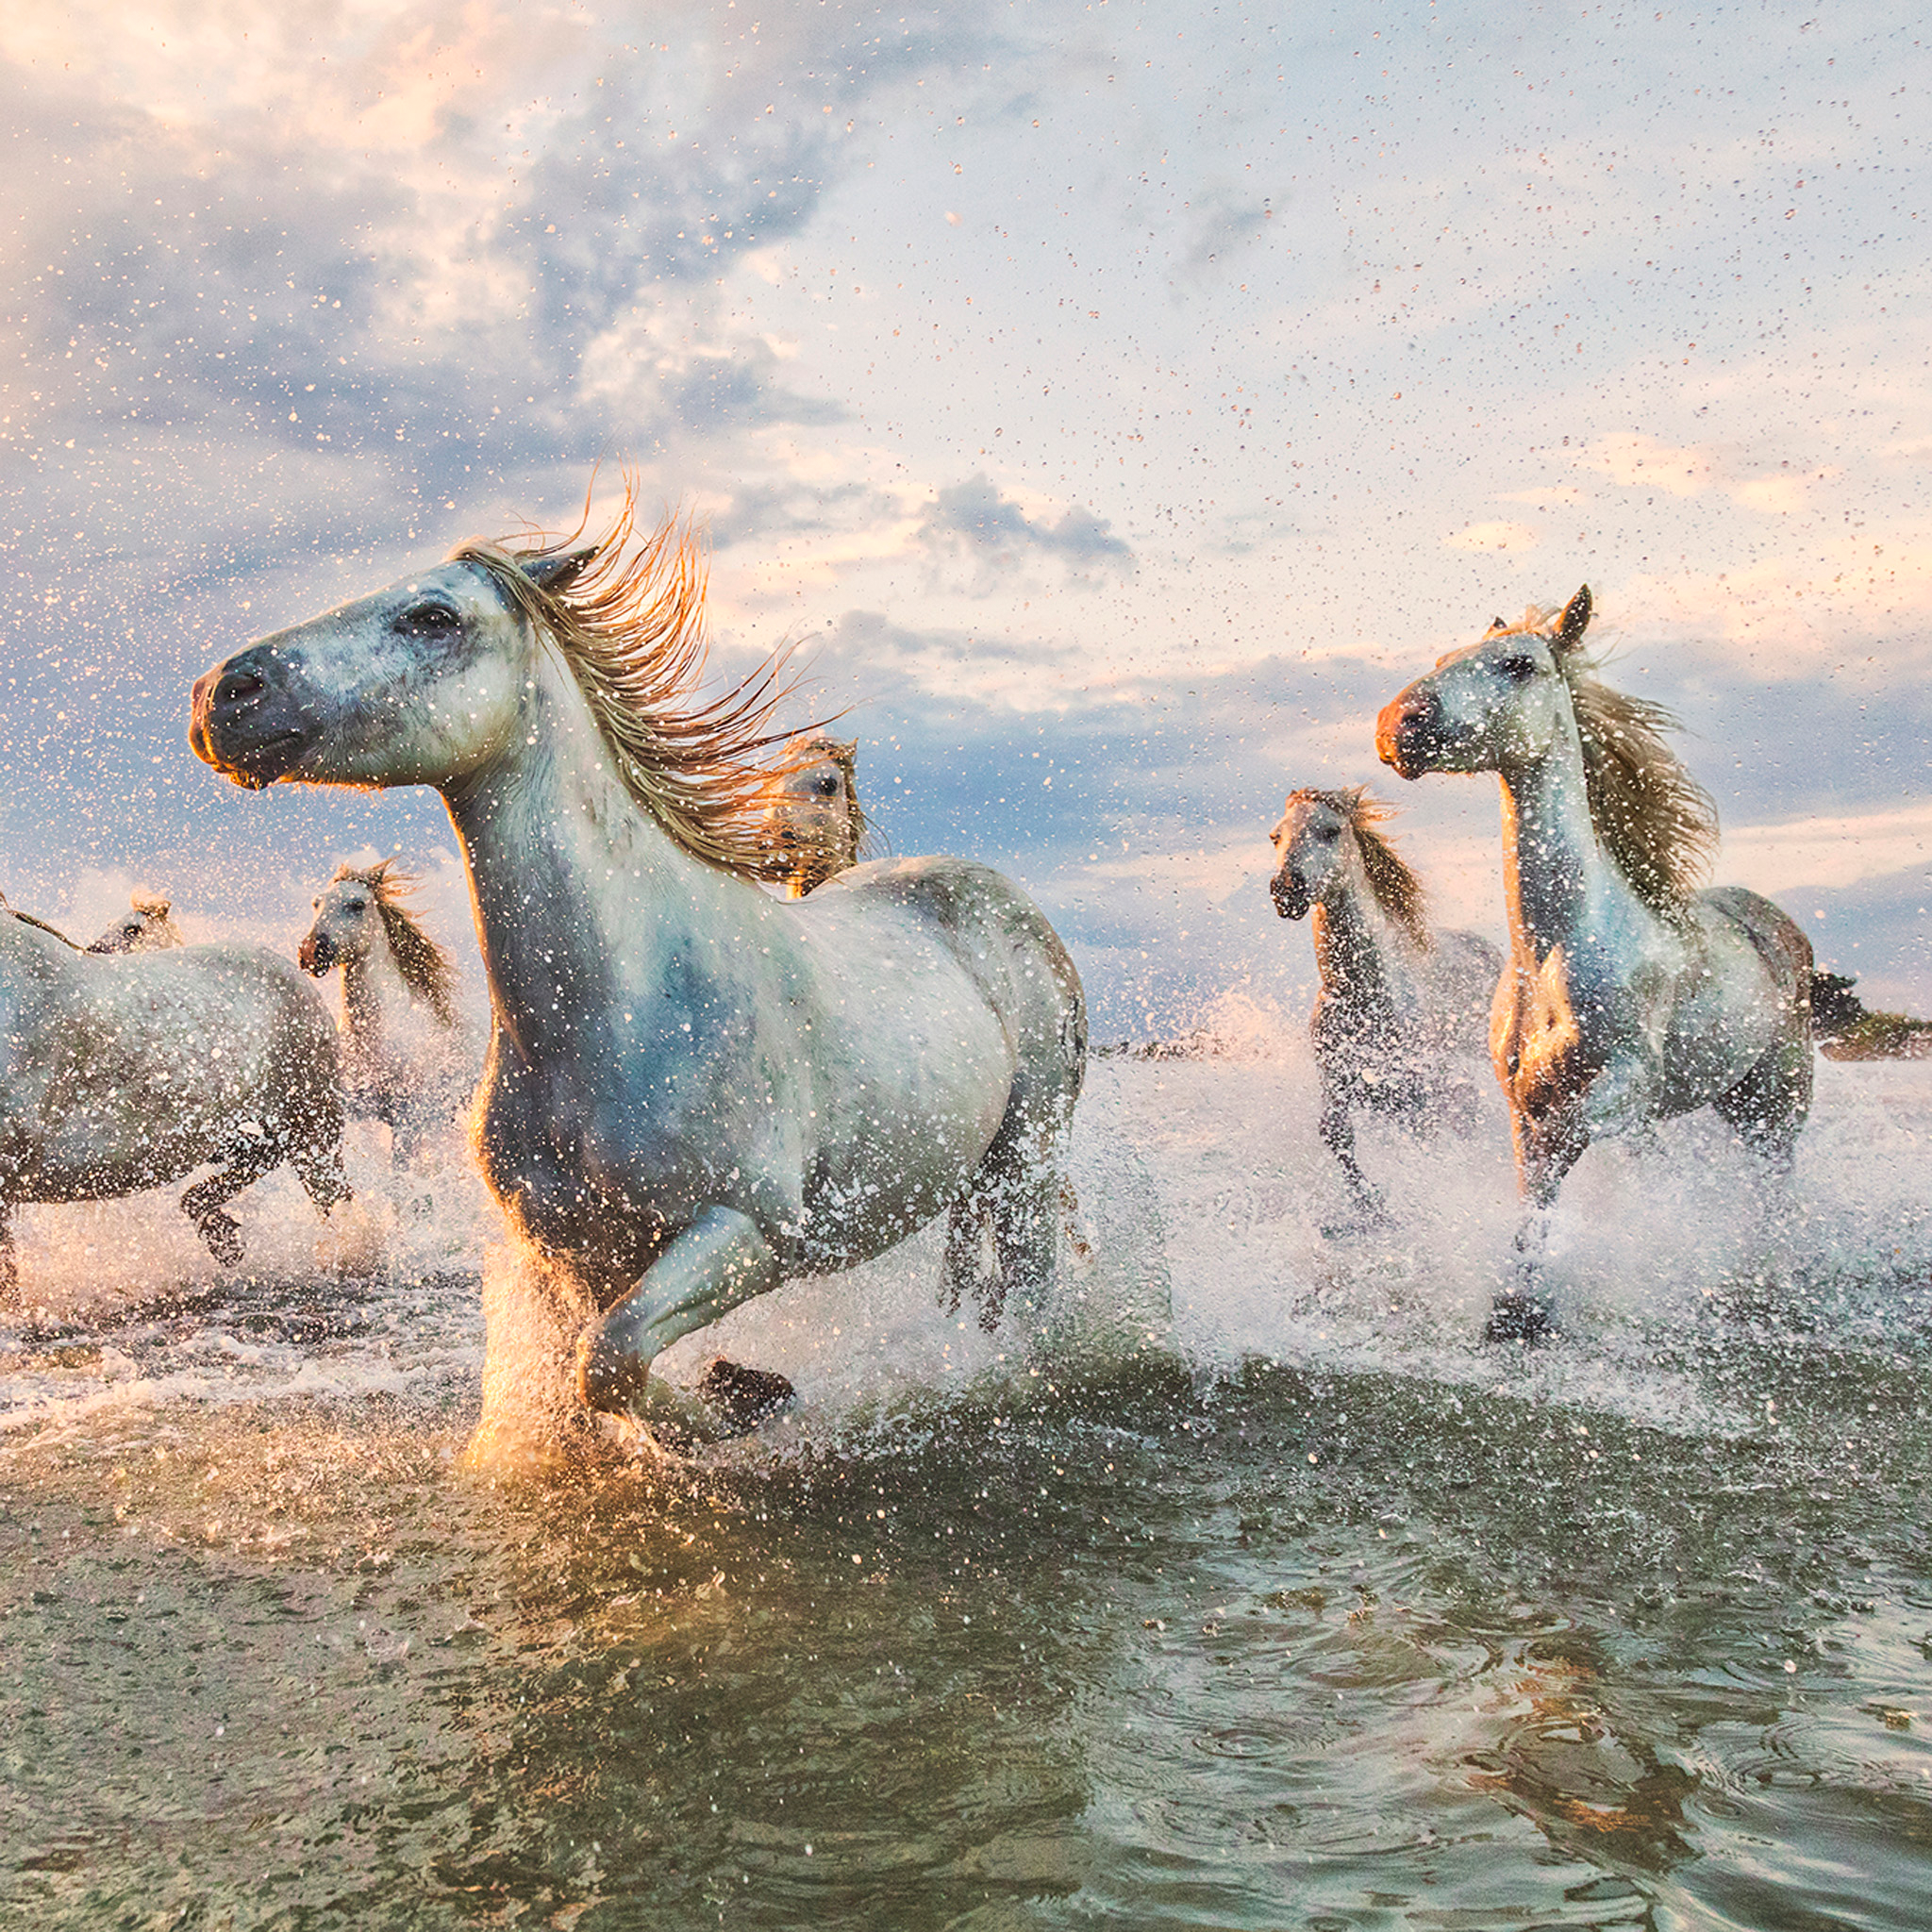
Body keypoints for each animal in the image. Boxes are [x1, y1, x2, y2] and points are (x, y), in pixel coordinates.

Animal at [0, 904, 349, 1303]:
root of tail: (289, 967)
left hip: (313, 1126)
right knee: (260, 1156)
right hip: (222, 1132)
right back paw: (221, 1235)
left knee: (334, 1200)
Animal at [1268, 786, 1502, 1229]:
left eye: (1329, 830)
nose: (1286, 889)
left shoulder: (1417, 1090)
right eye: (1276, 836)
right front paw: (1370, 1207)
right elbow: (1336, 1134)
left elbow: (1428, 1138)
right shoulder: (1338, 1082)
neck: (1363, 994)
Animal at [1374, 587, 1813, 1341]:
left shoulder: (1618, 1093)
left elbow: (1565, 1163)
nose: (1397, 726)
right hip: (1733, 1097)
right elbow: (1536, 1192)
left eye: (1519, 664)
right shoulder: (1523, 1105)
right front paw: (1517, 1309)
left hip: (1778, 1097)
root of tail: (1776, 926)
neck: (1554, 952)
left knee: (1773, 1184)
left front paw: (1537, 1302)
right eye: (1443, 659)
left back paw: (1767, 1278)